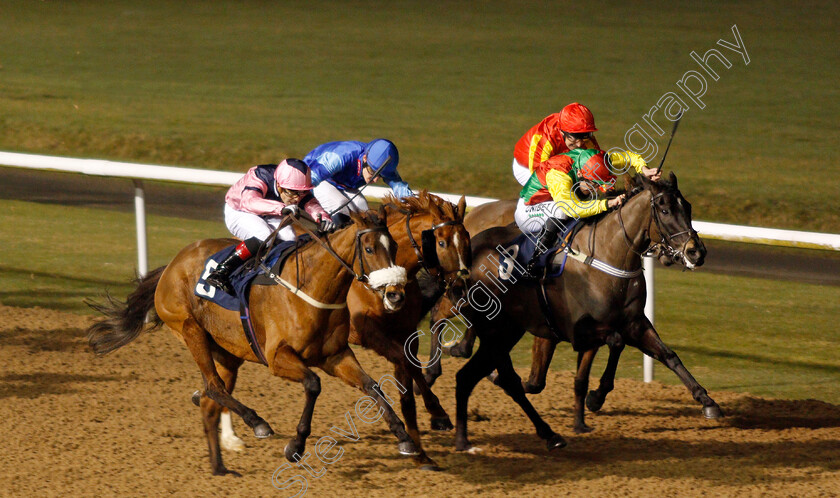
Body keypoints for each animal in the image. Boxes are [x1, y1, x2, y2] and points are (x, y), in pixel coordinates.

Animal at [86, 209, 420, 474]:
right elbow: (313, 385)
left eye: (393, 246)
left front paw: (404, 438)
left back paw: (219, 467)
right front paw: (295, 445)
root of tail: (171, 265)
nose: (395, 294)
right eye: (369, 248)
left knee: (209, 399)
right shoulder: (278, 357)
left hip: (227, 353)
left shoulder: (335, 355)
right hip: (190, 329)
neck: (311, 287)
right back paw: (256, 422)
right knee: (213, 387)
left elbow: (372, 386)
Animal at [446, 173, 720, 454]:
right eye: (665, 210)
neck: (607, 255)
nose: (696, 252)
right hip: (498, 330)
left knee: (476, 376)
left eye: (688, 207)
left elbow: (668, 355)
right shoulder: (579, 330)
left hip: (508, 331)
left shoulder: (634, 322)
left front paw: (707, 401)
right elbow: (615, 343)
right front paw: (596, 398)